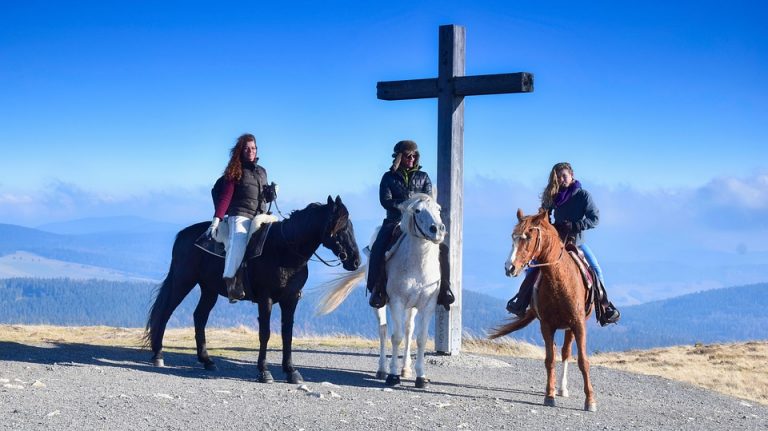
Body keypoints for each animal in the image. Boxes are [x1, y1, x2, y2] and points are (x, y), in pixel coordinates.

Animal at [144, 197, 360, 384]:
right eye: (340, 227)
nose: (356, 261)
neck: (284, 250)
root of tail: (183, 235)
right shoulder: (266, 299)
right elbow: (265, 333)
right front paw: (264, 371)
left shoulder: (291, 299)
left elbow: (287, 334)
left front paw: (291, 371)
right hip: (183, 282)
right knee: (165, 312)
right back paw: (158, 355)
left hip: (209, 289)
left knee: (199, 317)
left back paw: (207, 360)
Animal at [316, 194, 444, 390]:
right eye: (417, 210)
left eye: (438, 209)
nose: (437, 230)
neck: (417, 265)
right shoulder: (397, 302)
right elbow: (396, 337)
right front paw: (393, 375)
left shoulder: (427, 306)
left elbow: (420, 338)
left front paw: (420, 377)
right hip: (380, 304)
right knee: (383, 330)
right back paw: (383, 369)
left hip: (412, 307)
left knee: (409, 329)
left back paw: (405, 369)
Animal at [488, 211, 596, 414]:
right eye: (513, 237)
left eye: (528, 237)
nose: (509, 267)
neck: (559, 281)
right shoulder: (546, 325)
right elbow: (549, 360)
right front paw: (549, 395)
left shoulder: (578, 324)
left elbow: (583, 361)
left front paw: (590, 400)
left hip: (570, 328)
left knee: (566, 352)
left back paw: (563, 388)